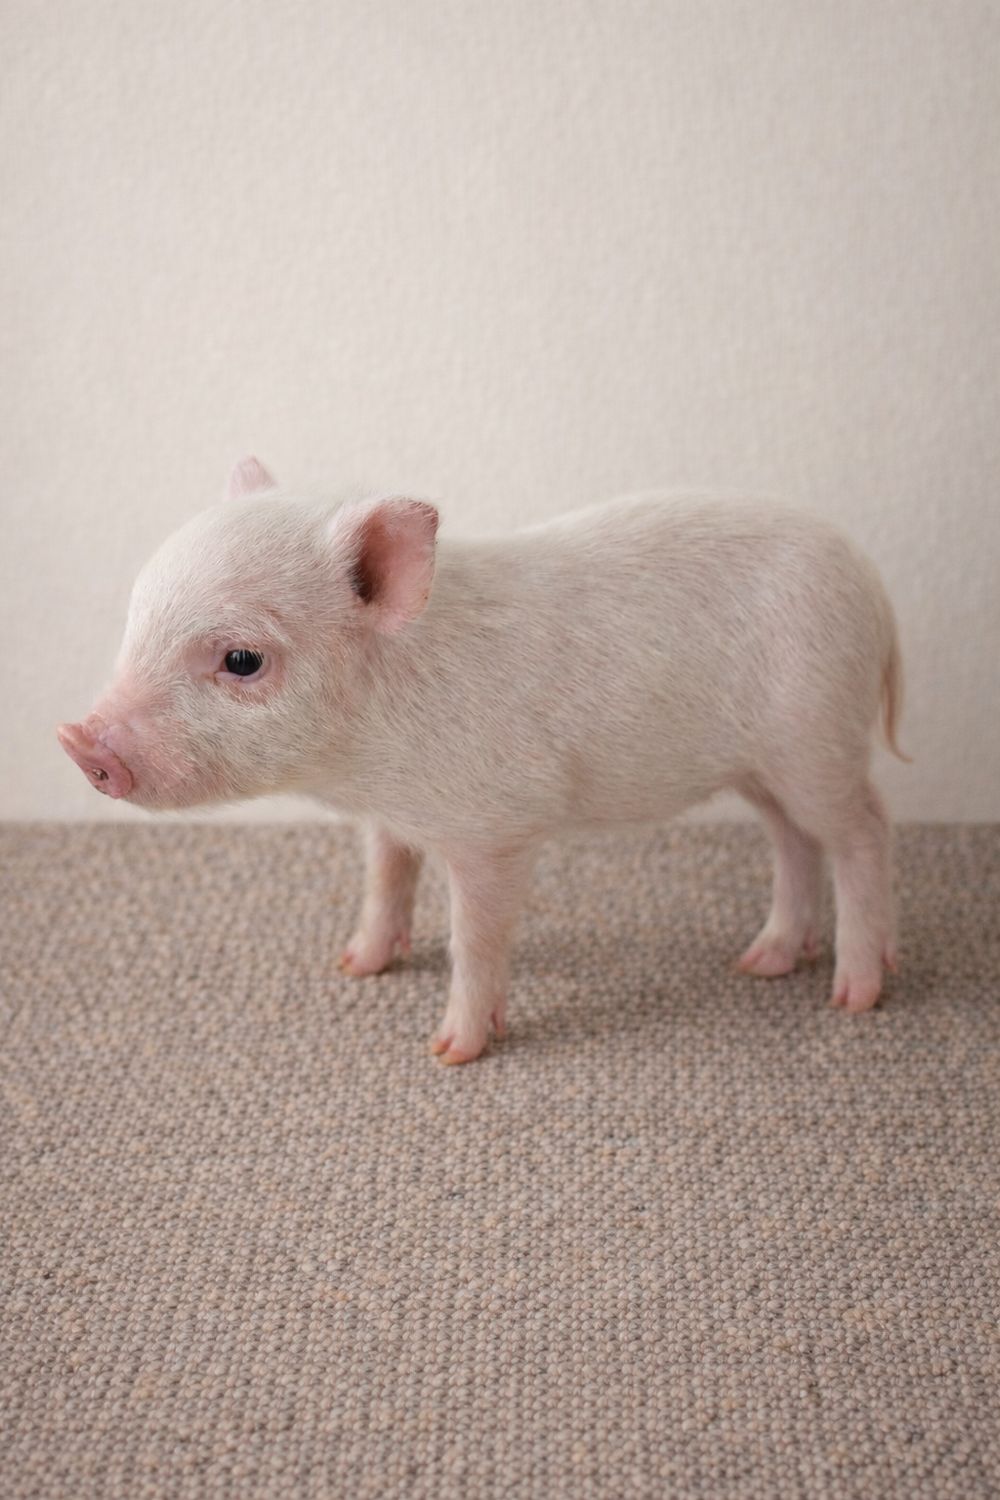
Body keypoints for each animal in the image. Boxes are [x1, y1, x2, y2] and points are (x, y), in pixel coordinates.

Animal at [58, 458, 908, 1063]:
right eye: (137, 618)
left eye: (242, 659)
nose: (79, 743)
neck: (364, 764)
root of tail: (871, 583)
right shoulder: (387, 818)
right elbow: (385, 880)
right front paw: (355, 966)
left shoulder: (498, 826)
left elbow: (476, 935)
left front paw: (450, 1052)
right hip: (764, 767)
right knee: (794, 839)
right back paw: (762, 963)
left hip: (815, 734)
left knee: (864, 830)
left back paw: (854, 995)